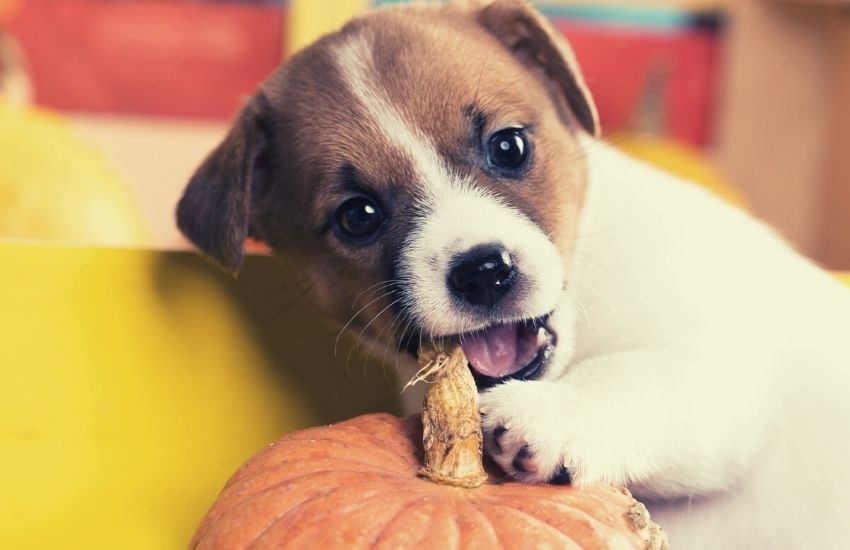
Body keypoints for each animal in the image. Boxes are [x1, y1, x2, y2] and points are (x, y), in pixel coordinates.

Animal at [174, 2, 848, 548]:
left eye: (509, 147)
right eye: (358, 216)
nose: (483, 272)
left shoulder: (720, 373)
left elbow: (635, 373)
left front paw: (554, 411)